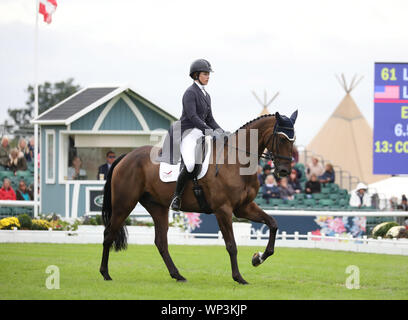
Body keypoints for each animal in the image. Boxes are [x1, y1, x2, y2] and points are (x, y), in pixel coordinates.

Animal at [99, 111, 296, 284]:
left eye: (293, 140)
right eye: (282, 139)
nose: (284, 171)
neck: (236, 162)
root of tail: (126, 156)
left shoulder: (244, 207)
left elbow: (273, 224)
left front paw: (258, 258)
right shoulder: (223, 210)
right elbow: (231, 245)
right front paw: (239, 277)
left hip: (157, 207)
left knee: (161, 242)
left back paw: (177, 275)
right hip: (124, 204)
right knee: (109, 234)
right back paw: (105, 274)